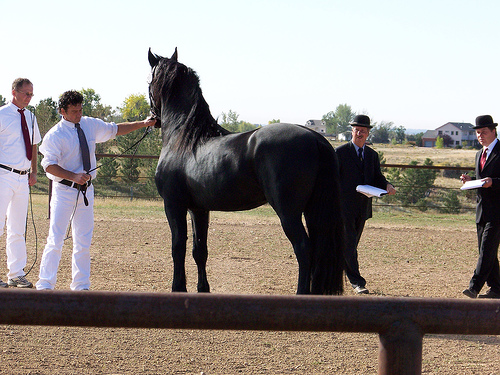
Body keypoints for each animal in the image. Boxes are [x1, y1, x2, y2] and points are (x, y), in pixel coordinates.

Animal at [148, 49, 344, 296]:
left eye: (149, 82)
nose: (153, 117)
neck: (184, 137)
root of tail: (316, 137)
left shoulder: (174, 205)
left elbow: (178, 247)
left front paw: (178, 288)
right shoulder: (199, 209)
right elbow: (199, 250)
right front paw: (203, 289)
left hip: (288, 212)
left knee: (303, 248)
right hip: (311, 209)